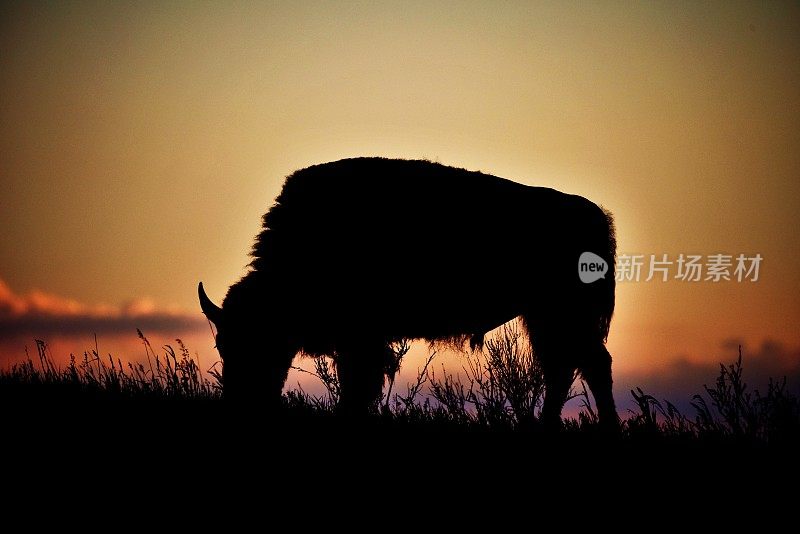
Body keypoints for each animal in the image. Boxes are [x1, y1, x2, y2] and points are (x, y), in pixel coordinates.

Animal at [198, 157, 620, 430]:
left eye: (262, 342)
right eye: (222, 345)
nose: (241, 406)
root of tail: (596, 216)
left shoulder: (362, 341)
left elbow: (358, 385)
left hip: (566, 315)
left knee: (591, 364)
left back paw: (605, 428)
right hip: (544, 317)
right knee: (563, 367)